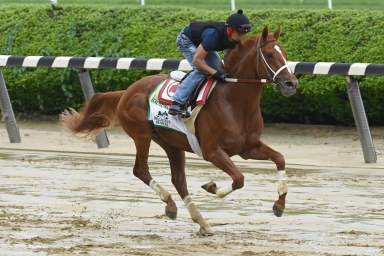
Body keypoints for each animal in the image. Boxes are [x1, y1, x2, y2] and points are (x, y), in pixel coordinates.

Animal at [60, 27, 300, 235]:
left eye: (285, 54)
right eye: (269, 54)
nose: (291, 83)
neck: (234, 102)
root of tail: (127, 91)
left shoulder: (248, 148)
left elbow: (280, 159)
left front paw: (279, 205)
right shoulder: (212, 151)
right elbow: (239, 178)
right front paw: (211, 186)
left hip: (171, 143)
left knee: (178, 180)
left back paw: (202, 222)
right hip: (142, 135)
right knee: (141, 170)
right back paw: (171, 205)